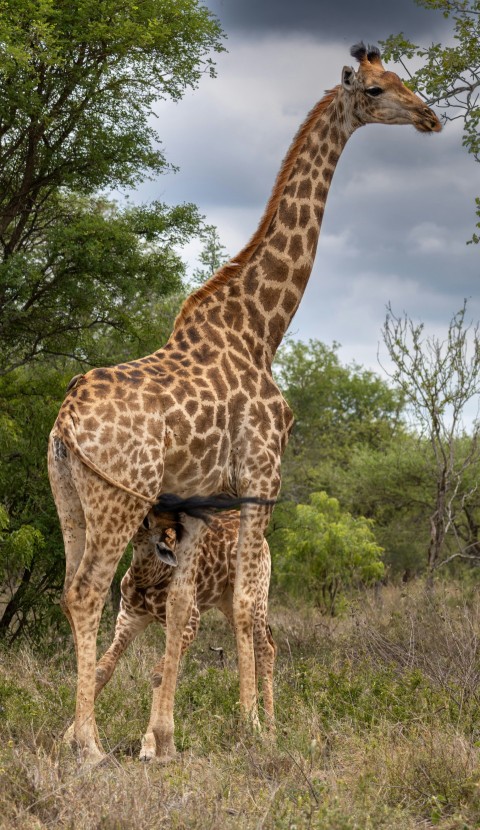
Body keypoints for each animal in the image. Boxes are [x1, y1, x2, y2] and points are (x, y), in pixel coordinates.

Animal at [90, 512, 274, 759]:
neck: (147, 578)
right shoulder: (128, 619)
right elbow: (102, 669)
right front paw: (72, 737)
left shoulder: (190, 622)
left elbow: (159, 674)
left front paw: (150, 747)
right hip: (226, 600)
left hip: (257, 594)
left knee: (266, 648)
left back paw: (270, 733)